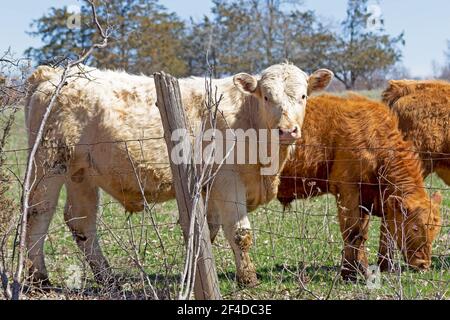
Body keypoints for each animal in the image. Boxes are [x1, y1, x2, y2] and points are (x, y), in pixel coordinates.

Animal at [25, 63, 334, 286]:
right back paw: (38, 277)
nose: (287, 130)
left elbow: (206, 230)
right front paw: (248, 279)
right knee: (39, 212)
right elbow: (239, 233)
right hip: (49, 163)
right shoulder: (228, 181)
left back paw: (108, 278)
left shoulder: (208, 186)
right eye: (267, 96)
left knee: (81, 222)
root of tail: (52, 74)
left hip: (81, 173)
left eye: (303, 96)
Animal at [278, 94, 442, 280]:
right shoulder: (348, 191)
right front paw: (351, 272)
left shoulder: (365, 199)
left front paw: (357, 269)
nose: (423, 264)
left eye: (436, 228)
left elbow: (362, 234)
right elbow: (352, 232)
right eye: (415, 228)